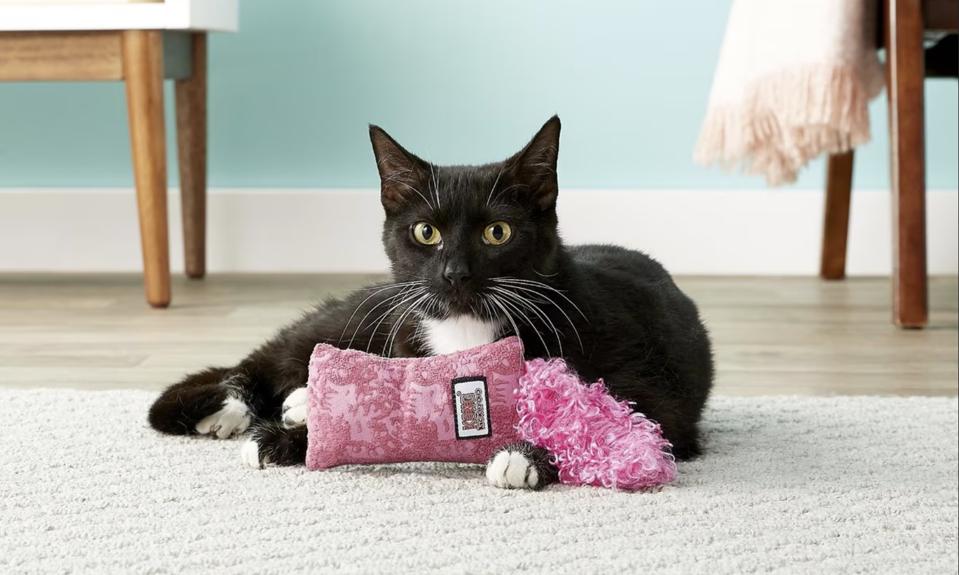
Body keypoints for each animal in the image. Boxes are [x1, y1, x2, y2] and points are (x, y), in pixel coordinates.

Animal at [148, 117, 712, 490]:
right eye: (426, 232)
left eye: (497, 232)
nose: (454, 272)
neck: (467, 328)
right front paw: (284, 440)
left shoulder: (649, 381)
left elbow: (622, 416)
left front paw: (523, 457)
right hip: (371, 312)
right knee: (273, 357)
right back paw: (233, 407)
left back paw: (293, 403)